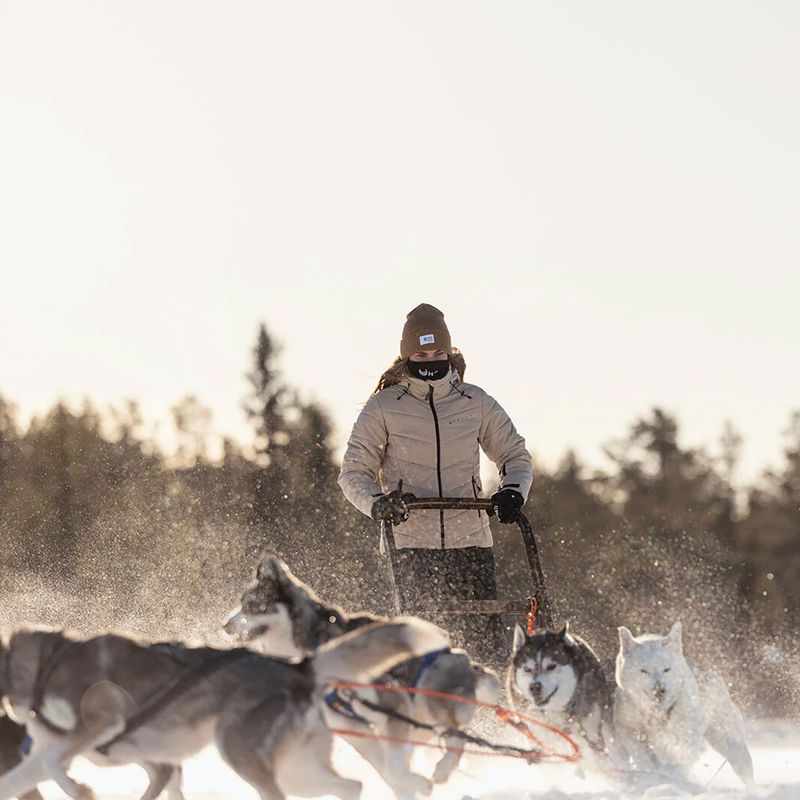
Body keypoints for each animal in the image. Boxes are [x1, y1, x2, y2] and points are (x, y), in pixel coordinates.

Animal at [0, 616, 446, 796]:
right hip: (297, 771)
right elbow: (35, 769)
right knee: (351, 786)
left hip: (239, 753)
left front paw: (81, 788)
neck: (42, 668)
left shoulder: (101, 720)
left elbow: (57, 763)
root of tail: (300, 668)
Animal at [225, 556, 500, 792]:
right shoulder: (356, 730)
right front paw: (409, 785)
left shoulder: (393, 704)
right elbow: (389, 772)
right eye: (241, 604)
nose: (225, 625)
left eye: (253, 605)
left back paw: (443, 769)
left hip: (429, 697)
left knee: (457, 737)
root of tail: (464, 660)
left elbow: (394, 769)